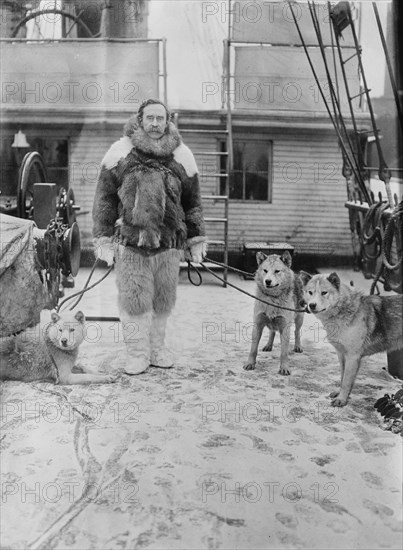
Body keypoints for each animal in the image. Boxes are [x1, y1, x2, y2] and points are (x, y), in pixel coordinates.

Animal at [302, 272, 403, 408]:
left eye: (324, 292)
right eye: (310, 292)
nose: (311, 305)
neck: (343, 311)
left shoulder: (352, 357)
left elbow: (346, 381)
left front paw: (341, 400)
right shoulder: (341, 355)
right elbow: (342, 377)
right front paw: (340, 394)